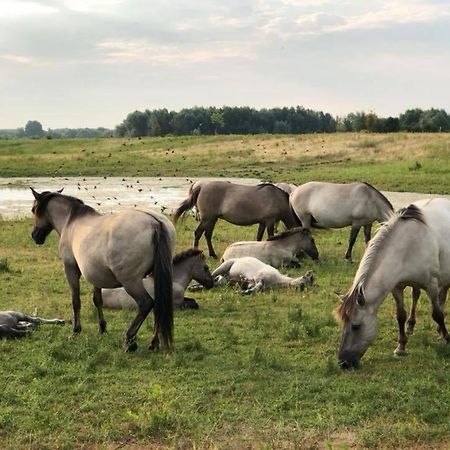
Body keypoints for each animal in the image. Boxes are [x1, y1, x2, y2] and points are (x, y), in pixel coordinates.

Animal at [30, 188, 175, 354]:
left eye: (33, 210)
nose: (35, 236)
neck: (72, 221)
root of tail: (155, 223)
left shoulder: (71, 269)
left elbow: (76, 301)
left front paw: (76, 330)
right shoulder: (96, 276)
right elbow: (97, 300)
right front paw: (102, 328)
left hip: (131, 282)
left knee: (146, 304)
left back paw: (130, 340)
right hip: (154, 276)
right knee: (158, 305)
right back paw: (153, 343)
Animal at [334, 200, 450, 370]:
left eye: (356, 326)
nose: (343, 362)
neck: (408, 245)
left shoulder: (431, 285)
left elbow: (437, 314)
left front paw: (447, 338)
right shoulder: (397, 287)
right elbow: (400, 316)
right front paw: (401, 347)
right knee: (417, 295)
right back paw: (411, 327)